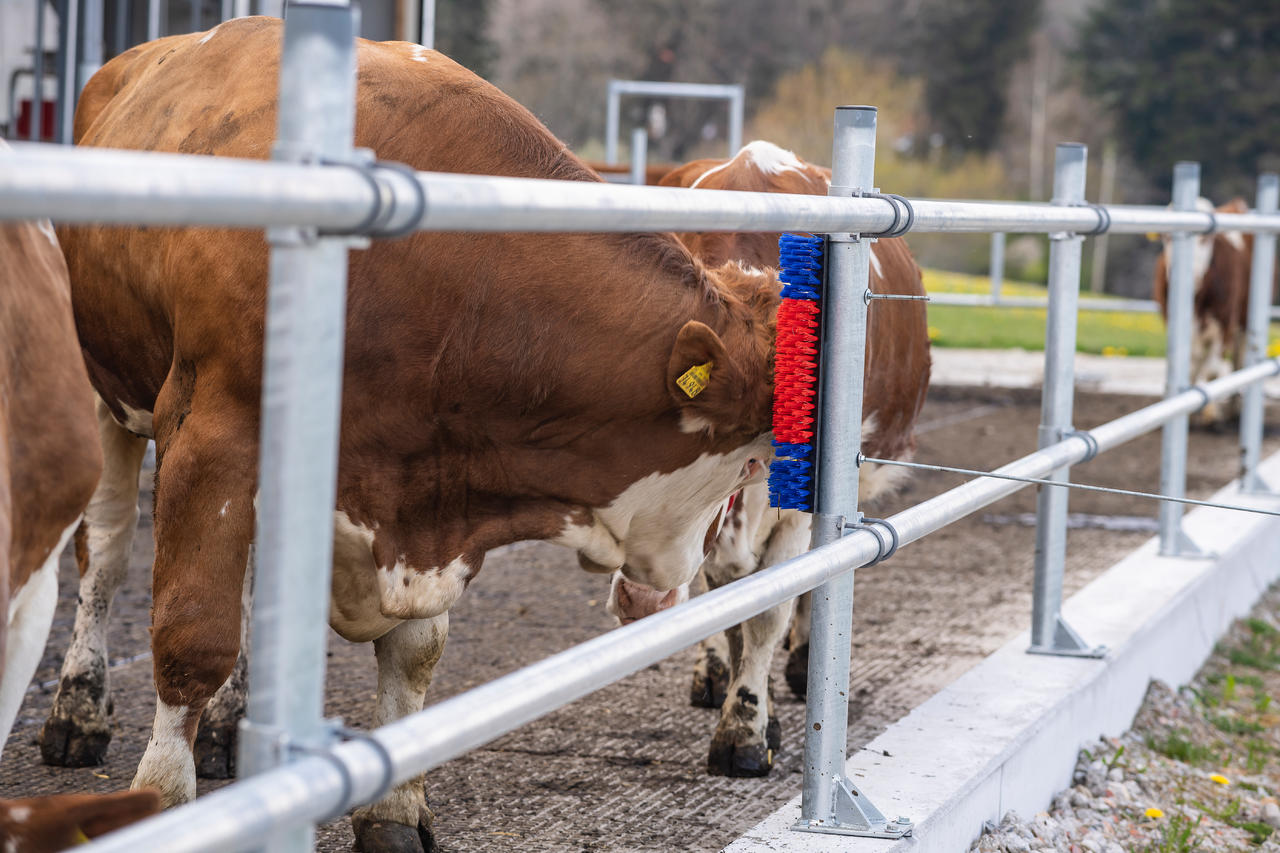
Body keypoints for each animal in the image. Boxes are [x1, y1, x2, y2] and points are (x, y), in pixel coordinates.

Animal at [40, 19, 773, 850]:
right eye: (750, 462)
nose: (661, 596)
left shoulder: (431, 479)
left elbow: (416, 651)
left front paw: (392, 807)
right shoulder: (210, 431)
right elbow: (192, 633)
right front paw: (166, 795)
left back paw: (230, 727)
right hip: (107, 393)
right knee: (104, 554)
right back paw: (79, 707)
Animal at [614, 142, 926, 773]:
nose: (635, 593)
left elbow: (768, 607)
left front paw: (746, 730)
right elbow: (727, 595)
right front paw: (737, 693)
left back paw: (804, 662)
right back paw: (713, 669)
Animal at [1152, 197, 1259, 425]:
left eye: (1205, 238)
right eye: (1166, 236)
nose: (1188, 274)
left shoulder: (1225, 326)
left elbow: (1212, 371)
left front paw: (1213, 415)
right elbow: (1191, 364)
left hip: (1244, 323)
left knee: (1237, 362)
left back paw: (1234, 409)